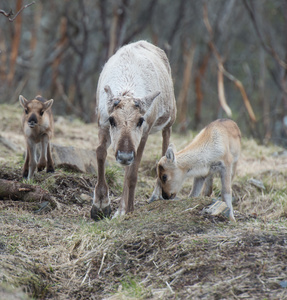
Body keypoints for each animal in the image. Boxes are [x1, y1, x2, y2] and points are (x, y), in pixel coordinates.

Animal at [92, 40, 177, 220]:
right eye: (112, 120)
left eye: (140, 120)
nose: (124, 156)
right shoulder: (102, 124)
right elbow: (100, 153)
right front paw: (101, 206)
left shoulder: (144, 132)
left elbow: (132, 174)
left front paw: (128, 210)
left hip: (170, 119)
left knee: (165, 145)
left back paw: (156, 195)